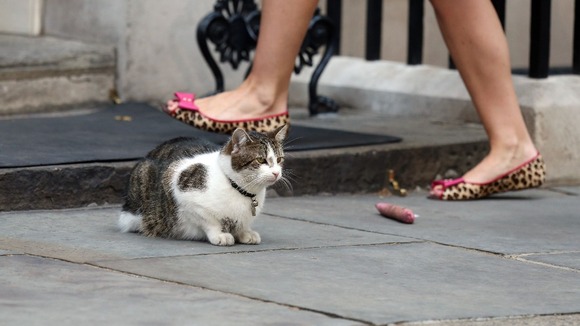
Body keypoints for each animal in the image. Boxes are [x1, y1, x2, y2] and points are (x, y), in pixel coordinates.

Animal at [119, 126, 288, 246]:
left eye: (279, 159)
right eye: (260, 160)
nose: (276, 173)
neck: (240, 189)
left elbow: (242, 224)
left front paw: (245, 232)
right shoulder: (183, 193)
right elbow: (209, 221)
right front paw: (219, 234)